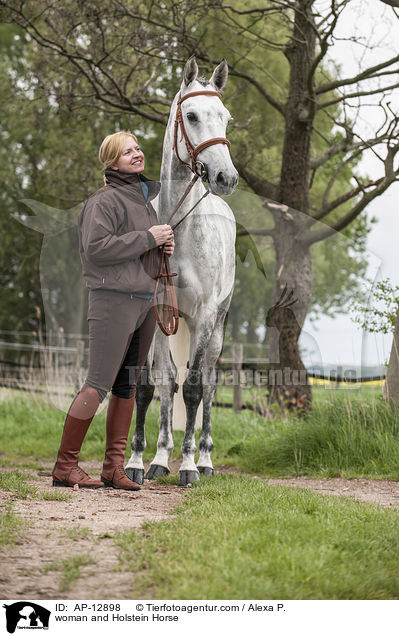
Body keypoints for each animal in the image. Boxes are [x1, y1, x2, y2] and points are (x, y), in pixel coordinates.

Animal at [126, 56, 238, 486]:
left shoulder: (204, 316)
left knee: (207, 385)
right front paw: (139, 462)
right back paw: (162, 457)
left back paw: (204, 459)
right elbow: (152, 386)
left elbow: (192, 389)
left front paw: (188, 467)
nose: (226, 178)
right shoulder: (153, 313)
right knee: (167, 381)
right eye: (191, 115)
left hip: (217, 326)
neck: (179, 230)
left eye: (225, 118)